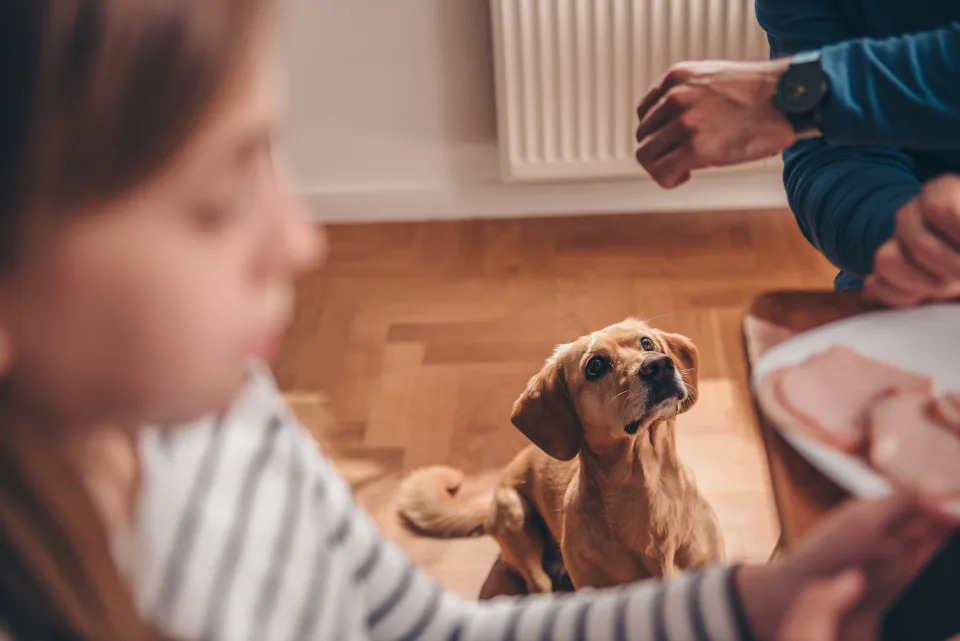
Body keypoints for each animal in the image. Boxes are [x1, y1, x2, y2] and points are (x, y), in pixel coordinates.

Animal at [396, 318, 720, 592]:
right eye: (595, 365)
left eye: (647, 343)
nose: (660, 366)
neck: (649, 484)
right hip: (515, 514)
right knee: (537, 583)